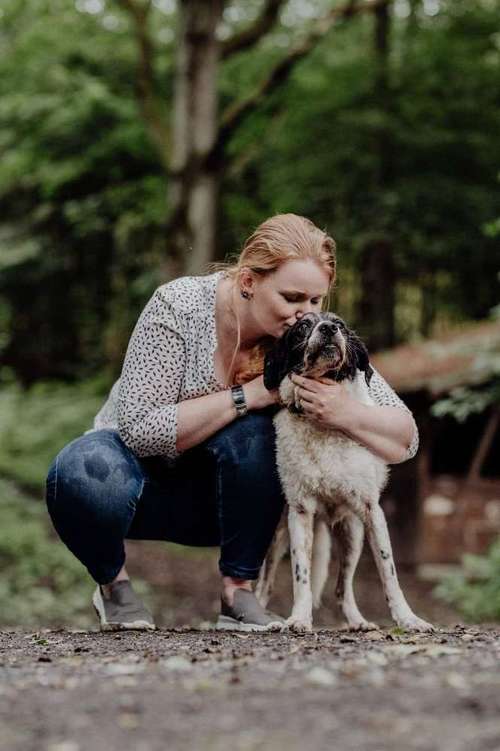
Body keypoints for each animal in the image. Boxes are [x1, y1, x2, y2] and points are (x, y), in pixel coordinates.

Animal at [258, 312, 434, 636]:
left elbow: (390, 575)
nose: (329, 329)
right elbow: (300, 576)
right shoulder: (300, 512)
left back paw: (357, 621)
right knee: (264, 585)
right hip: (277, 536)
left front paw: (409, 619)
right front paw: (299, 618)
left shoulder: (371, 511)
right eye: (303, 326)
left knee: (343, 587)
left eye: (339, 323)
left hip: (352, 534)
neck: (322, 426)